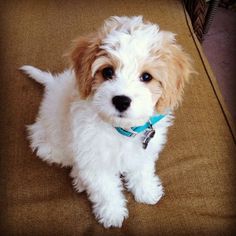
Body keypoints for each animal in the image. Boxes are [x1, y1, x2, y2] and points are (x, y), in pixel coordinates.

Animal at [20, 15, 194, 228]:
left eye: (146, 76)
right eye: (108, 72)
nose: (121, 100)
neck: (122, 130)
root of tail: (53, 85)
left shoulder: (143, 151)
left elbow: (142, 170)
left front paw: (146, 190)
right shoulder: (94, 159)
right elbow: (105, 190)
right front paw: (112, 213)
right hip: (53, 144)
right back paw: (79, 178)